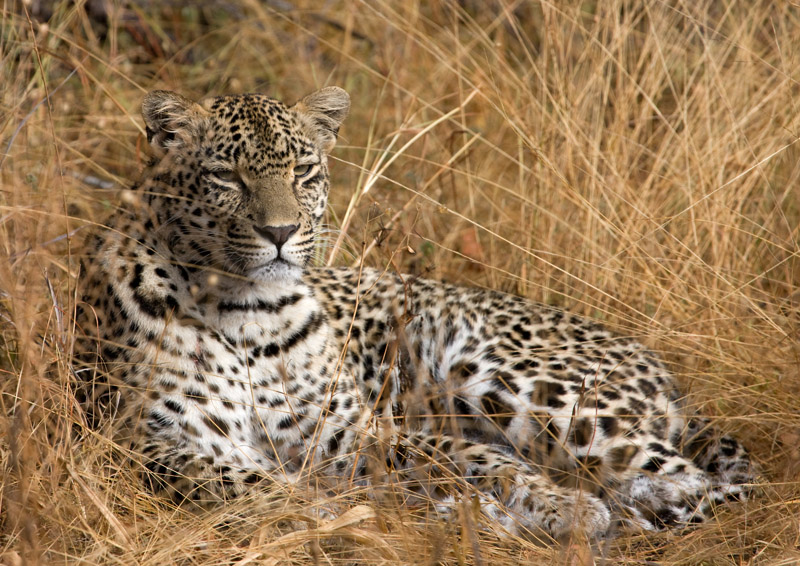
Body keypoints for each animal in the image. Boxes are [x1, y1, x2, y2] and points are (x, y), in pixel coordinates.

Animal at [75, 85, 756, 544]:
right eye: (226, 176)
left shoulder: (347, 431)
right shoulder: (150, 444)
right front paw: (332, 516)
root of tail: (663, 372)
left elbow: (463, 457)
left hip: (495, 373)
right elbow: (252, 484)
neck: (248, 312)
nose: (281, 232)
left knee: (680, 477)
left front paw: (562, 508)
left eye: (303, 172)